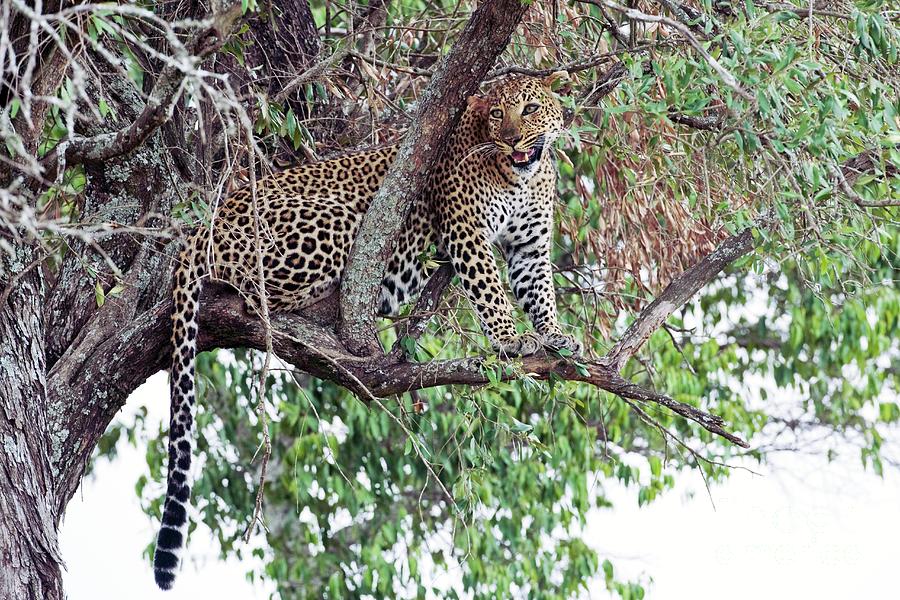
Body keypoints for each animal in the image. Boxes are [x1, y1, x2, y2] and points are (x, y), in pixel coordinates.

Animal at [155, 71, 584, 592]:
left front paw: (556, 333)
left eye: (530, 109)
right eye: (498, 114)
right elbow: (488, 287)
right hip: (328, 221)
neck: (521, 175)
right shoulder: (466, 230)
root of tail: (209, 221)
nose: (511, 138)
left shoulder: (530, 248)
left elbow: (540, 291)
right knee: (256, 296)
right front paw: (508, 337)